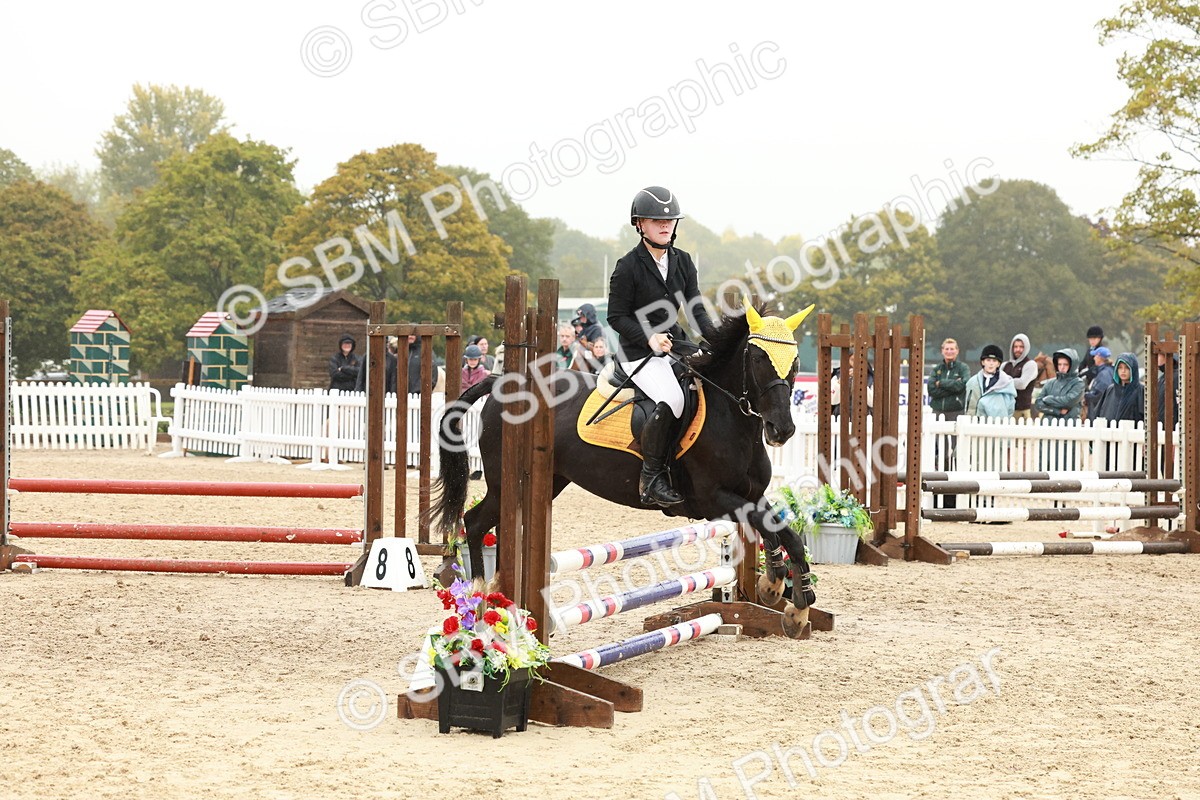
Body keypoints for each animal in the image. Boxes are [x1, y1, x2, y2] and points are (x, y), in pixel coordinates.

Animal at [429, 301, 817, 638]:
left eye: (795, 360)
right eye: (758, 358)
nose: (782, 430)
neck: (732, 420)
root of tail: (501, 383)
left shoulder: (751, 495)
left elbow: (783, 534)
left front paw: (782, 595)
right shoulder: (713, 499)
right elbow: (780, 531)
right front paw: (789, 596)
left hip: (548, 482)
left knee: (487, 523)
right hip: (505, 485)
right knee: (474, 522)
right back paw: (481, 600)